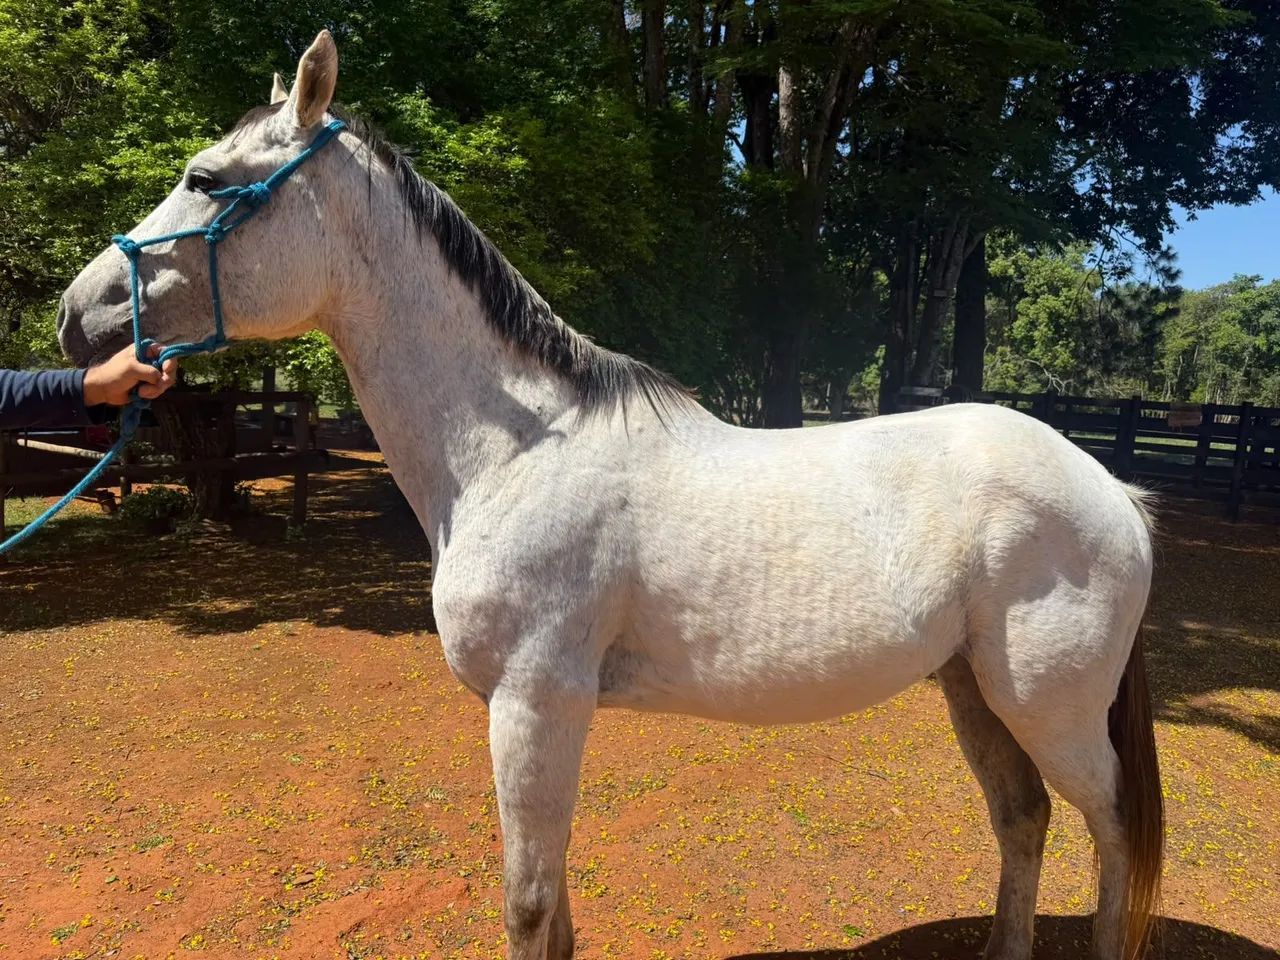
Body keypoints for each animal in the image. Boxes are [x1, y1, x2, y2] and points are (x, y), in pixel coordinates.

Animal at [55, 31, 1162, 960]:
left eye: (206, 179)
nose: (77, 317)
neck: (511, 455)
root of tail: (1110, 489)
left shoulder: (532, 702)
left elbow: (527, 907)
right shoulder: (544, 713)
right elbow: (556, 914)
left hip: (1049, 707)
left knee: (1112, 836)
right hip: (973, 688)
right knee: (1024, 819)